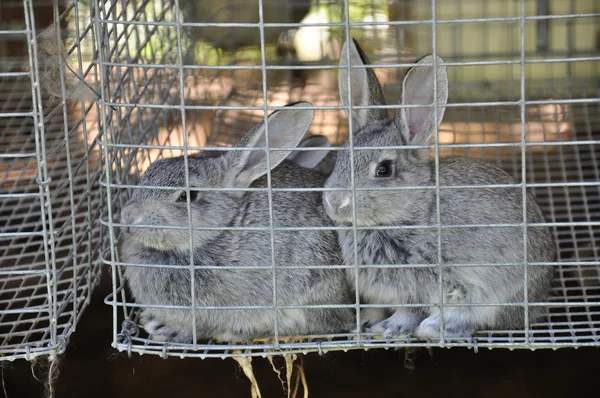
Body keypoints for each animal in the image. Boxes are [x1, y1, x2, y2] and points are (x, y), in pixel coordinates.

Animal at [322, 39, 556, 338]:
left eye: (383, 169)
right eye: (340, 157)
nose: (334, 202)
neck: (410, 210)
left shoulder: (420, 285)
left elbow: (410, 312)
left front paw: (390, 328)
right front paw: (366, 324)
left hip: (491, 293)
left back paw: (433, 328)